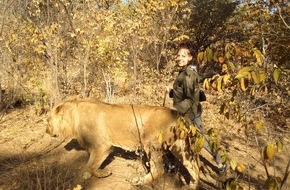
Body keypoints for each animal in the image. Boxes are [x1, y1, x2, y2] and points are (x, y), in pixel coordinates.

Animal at [46, 98, 199, 189]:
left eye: (48, 120)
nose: (46, 131)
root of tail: (181, 116)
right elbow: (89, 163)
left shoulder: (103, 146)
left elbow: (90, 165)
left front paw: (103, 173)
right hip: (180, 147)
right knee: (194, 168)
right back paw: (191, 186)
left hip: (152, 144)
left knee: (158, 169)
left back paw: (138, 181)